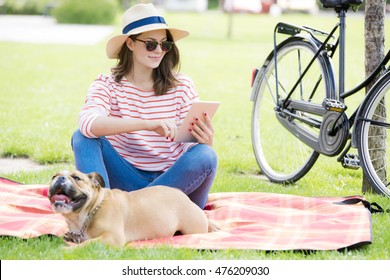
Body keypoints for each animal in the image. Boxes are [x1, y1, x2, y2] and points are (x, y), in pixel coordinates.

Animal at [48, 170, 216, 246]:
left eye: (76, 178)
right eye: (53, 176)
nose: (60, 178)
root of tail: (184, 196)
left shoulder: (112, 237)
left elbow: (87, 243)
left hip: (193, 228)